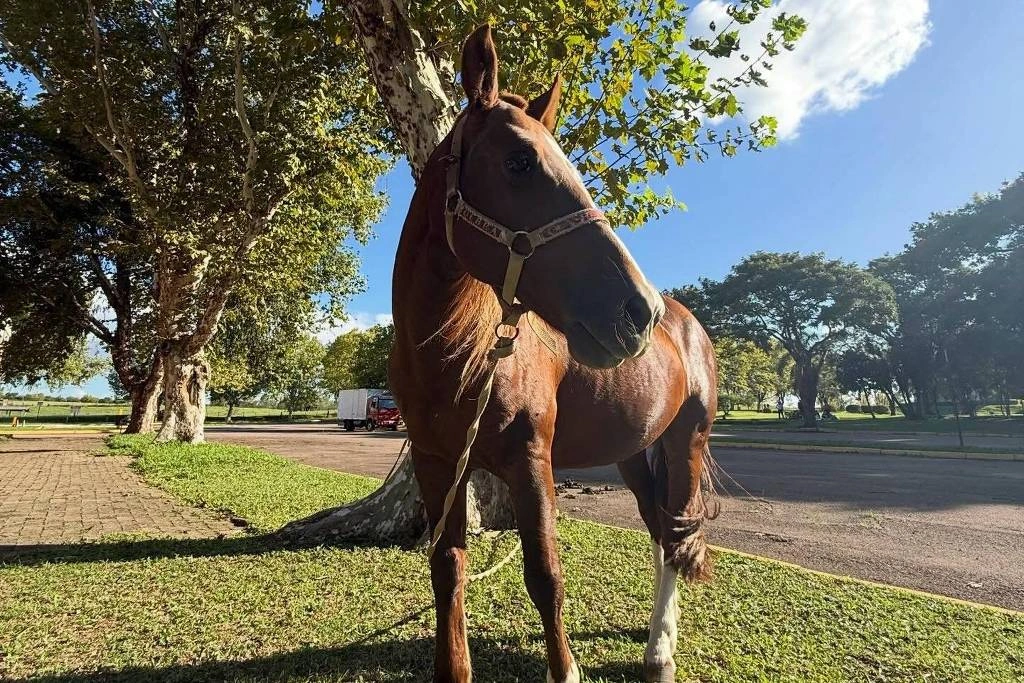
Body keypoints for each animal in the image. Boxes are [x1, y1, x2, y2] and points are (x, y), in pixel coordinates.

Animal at [389, 25, 718, 683]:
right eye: (519, 161)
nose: (638, 311)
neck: (456, 359)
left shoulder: (530, 459)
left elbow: (545, 576)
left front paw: (565, 668)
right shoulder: (439, 464)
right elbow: (448, 568)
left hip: (686, 442)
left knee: (676, 534)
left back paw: (661, 652)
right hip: (633, 451)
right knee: (656, 528)